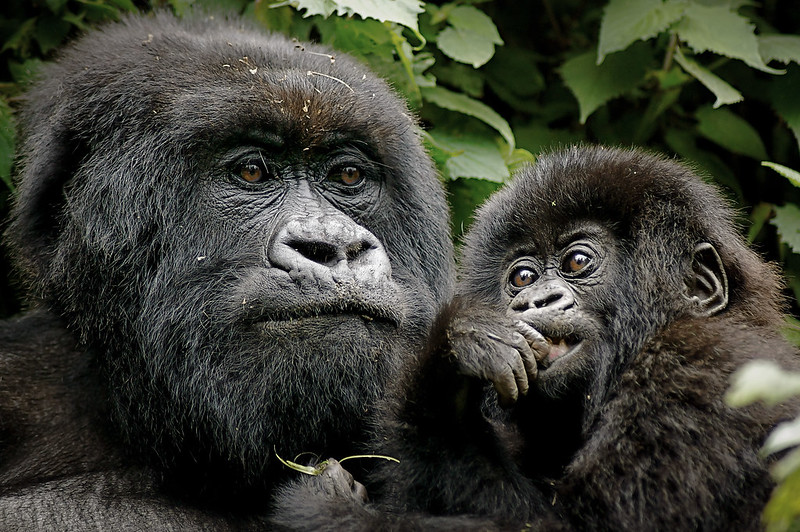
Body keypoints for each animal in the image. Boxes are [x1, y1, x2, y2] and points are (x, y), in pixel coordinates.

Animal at [276, 145, 800, 532]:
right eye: (522, 276)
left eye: (577, 262)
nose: (533, 301)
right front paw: (457, 354)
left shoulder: (696, 375)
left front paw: (323, 505)